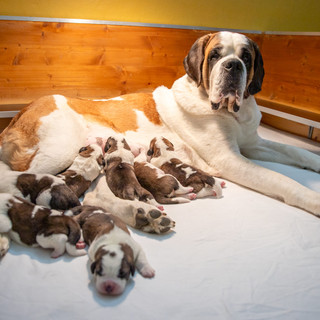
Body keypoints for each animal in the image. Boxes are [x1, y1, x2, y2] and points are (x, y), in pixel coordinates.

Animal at [0, 30, 320, 229]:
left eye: (246, 57)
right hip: (59, 150)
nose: (233, 65)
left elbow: (297, 152)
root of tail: (20, 114)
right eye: (215, 56)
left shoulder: (253, 144)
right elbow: (281, 180)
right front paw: (313, 199)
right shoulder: (230, 160)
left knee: (94, 194)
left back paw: (143, 215)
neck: (230, 114)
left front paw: (313, 161)